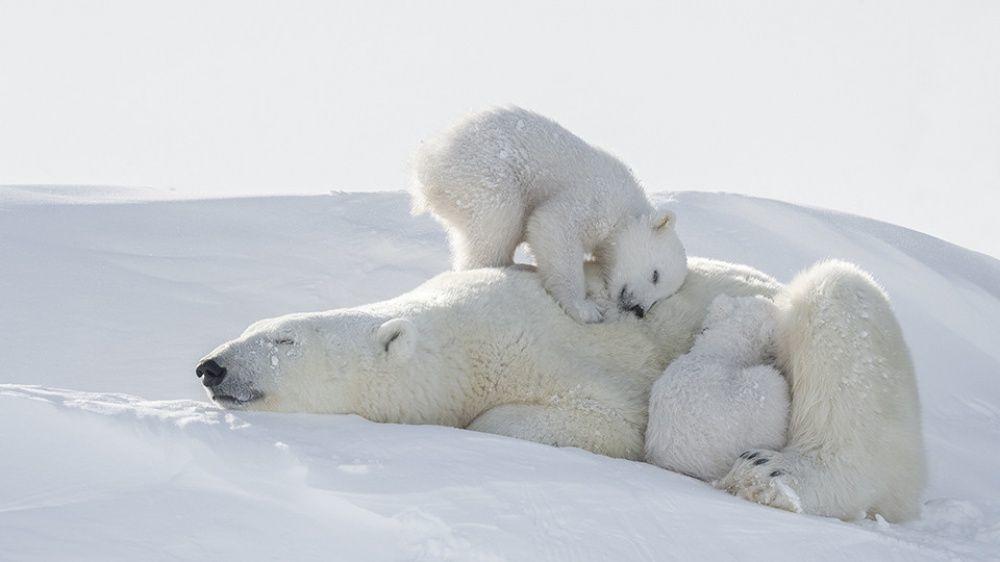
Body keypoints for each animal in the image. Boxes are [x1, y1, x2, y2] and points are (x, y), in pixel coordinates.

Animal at [199, 256, 924, 520]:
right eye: (252, 328)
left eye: (283, 341)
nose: (211, 367)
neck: (456, 338)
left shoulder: (540, 351)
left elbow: (608, 418)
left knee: (837, 303)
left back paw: (771, 476)